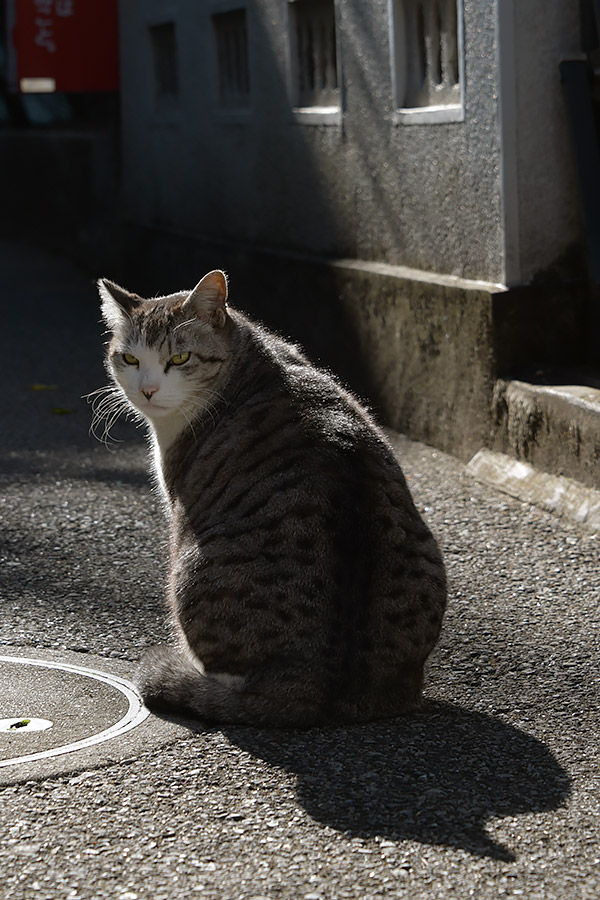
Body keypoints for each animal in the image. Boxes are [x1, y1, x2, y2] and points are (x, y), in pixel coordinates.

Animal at [98, 270, 446, 728]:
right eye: (130, 359)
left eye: (180, 358)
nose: (148, 390)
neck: (253, 355)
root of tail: (316, 682)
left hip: (187, 570)